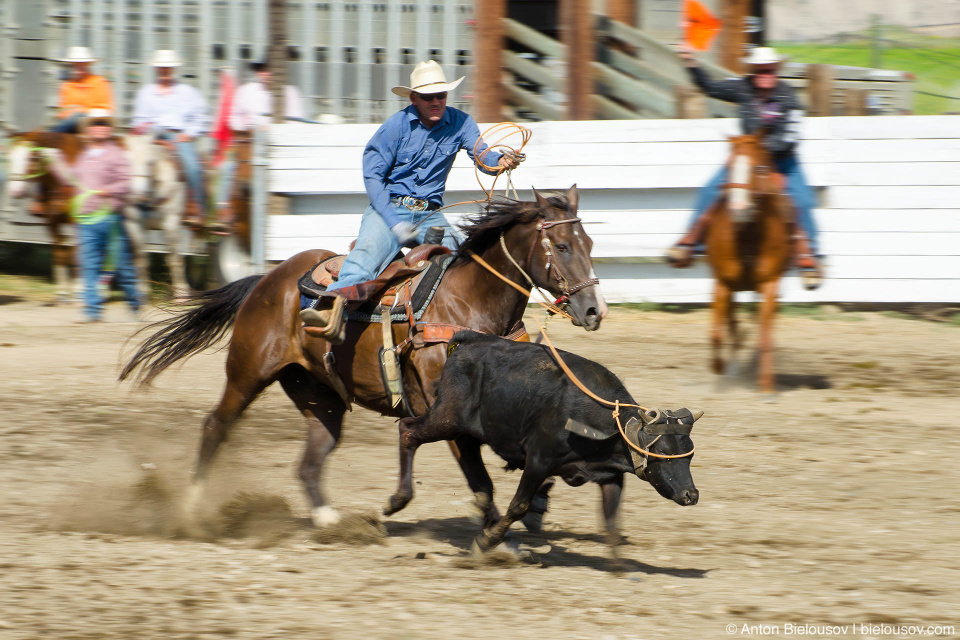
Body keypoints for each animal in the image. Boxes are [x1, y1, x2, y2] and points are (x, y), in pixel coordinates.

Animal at [7, 131, 85, 302]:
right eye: (10, 156)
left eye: (33, 156)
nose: (15, 190)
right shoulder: (52, 222)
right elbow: (58, 253)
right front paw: (62, 292)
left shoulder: (76, 222)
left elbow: (75, 253)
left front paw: (78, 289)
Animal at [122, 186, 608, 528]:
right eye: (562, 246)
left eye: (589, 243)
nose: (594, 311)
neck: (467, 304)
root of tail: (267, 280)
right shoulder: (446, 411)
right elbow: (480, 479)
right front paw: (499, 536)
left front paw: (535, 506)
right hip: (246, 373)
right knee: (215, 427)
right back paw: (191, 509)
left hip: (321, 396)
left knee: (310, 461)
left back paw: (330, 521)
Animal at [700, 134, 792, 396]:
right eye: (729, 166)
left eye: (758, 168)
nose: (739, 211)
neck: (746, 235)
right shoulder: (722, 283)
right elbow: (716, 334)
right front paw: (719, 369)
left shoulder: (770, 285)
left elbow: (765, 337)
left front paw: (767, 387)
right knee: (730, 320)